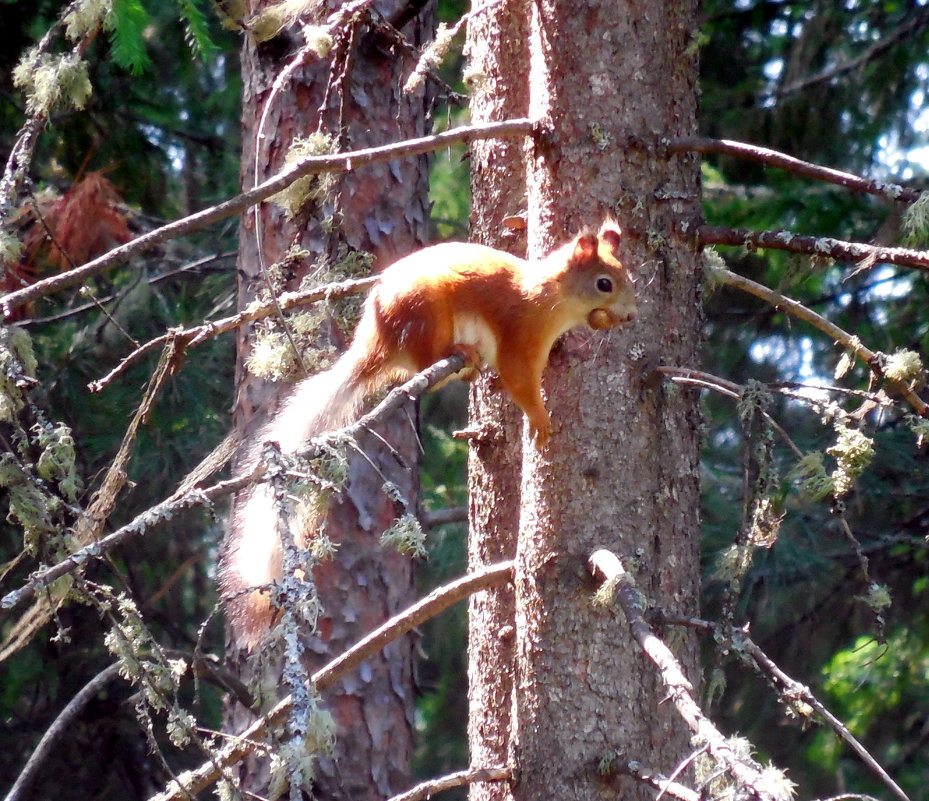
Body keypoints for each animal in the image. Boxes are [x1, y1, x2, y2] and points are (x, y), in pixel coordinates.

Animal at [221, 220, 636, 648]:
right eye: (604, 283)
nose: (630, 316)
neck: (547, 298)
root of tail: (379, 339)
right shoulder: (519, 340)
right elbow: (519, 381)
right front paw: (539, 419)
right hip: (427, 314)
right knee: (426, 364)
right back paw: (461, 354)